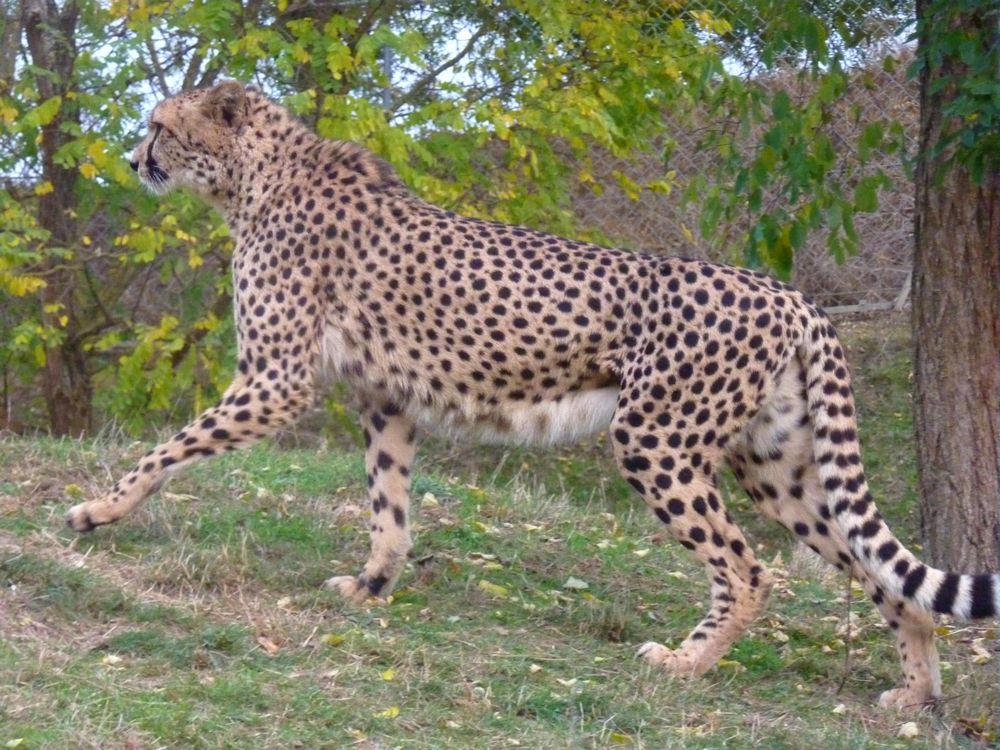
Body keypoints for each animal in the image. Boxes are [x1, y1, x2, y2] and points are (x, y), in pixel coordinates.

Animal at [66, 83, 996, 712]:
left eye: (160, 126)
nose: (135, 159)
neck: (255, 176)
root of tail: (789, 291)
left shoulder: (275, 379)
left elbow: (171, 446)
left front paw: (99, 510)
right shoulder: (384, 399)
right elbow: (388, 505)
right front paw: (372, 585)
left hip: (655, 437)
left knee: (747, 566)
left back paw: (686, 664)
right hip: (776, 463)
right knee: (878, 572)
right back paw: (916, 695)